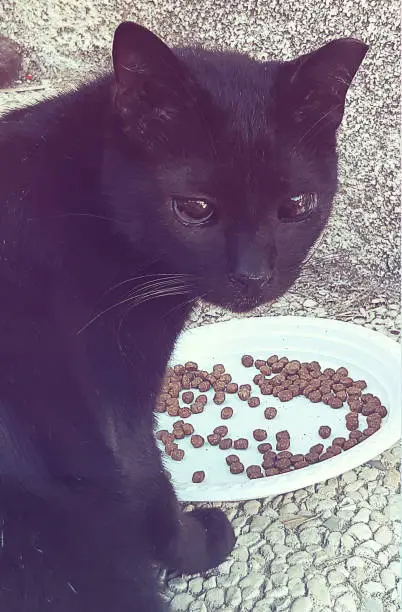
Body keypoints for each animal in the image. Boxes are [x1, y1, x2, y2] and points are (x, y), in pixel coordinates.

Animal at [0, 22, 366, 612]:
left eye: (296, 206)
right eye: (194, 209)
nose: (253, 274)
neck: (84, 201)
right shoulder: (111, 396)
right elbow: (146, 479)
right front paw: (197, 545)